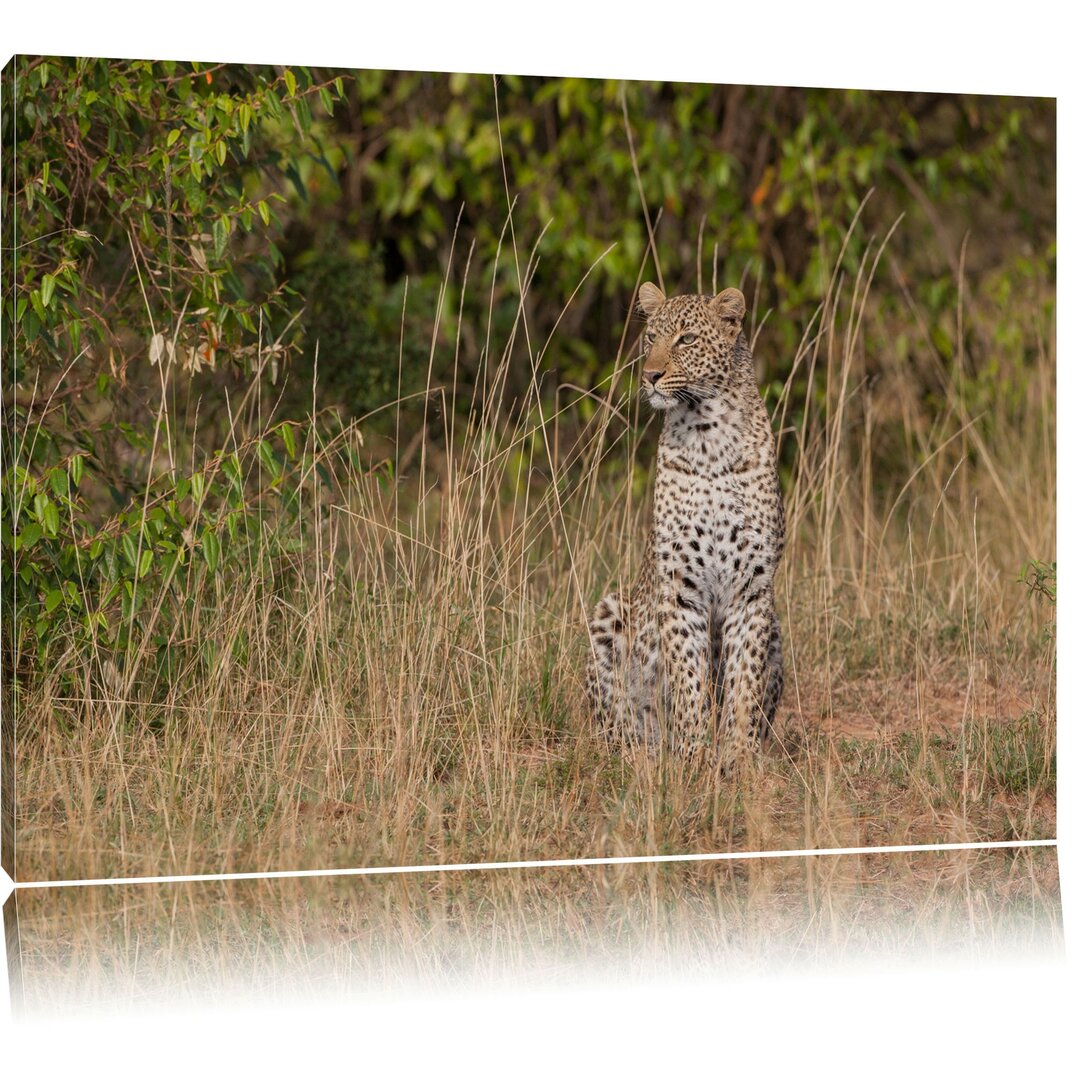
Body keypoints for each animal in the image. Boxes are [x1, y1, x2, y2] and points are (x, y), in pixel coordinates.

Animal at [591, 280, 786, 768]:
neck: (708, 435)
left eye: (687, 340)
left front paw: (738, 757)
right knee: (613, 724)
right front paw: (694, 755)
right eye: (650, 338)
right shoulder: (678, 585)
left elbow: (743, 680)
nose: (650, 375)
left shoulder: (752, 587)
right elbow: (687, 676)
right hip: (608, 612)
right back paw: (639, 753)